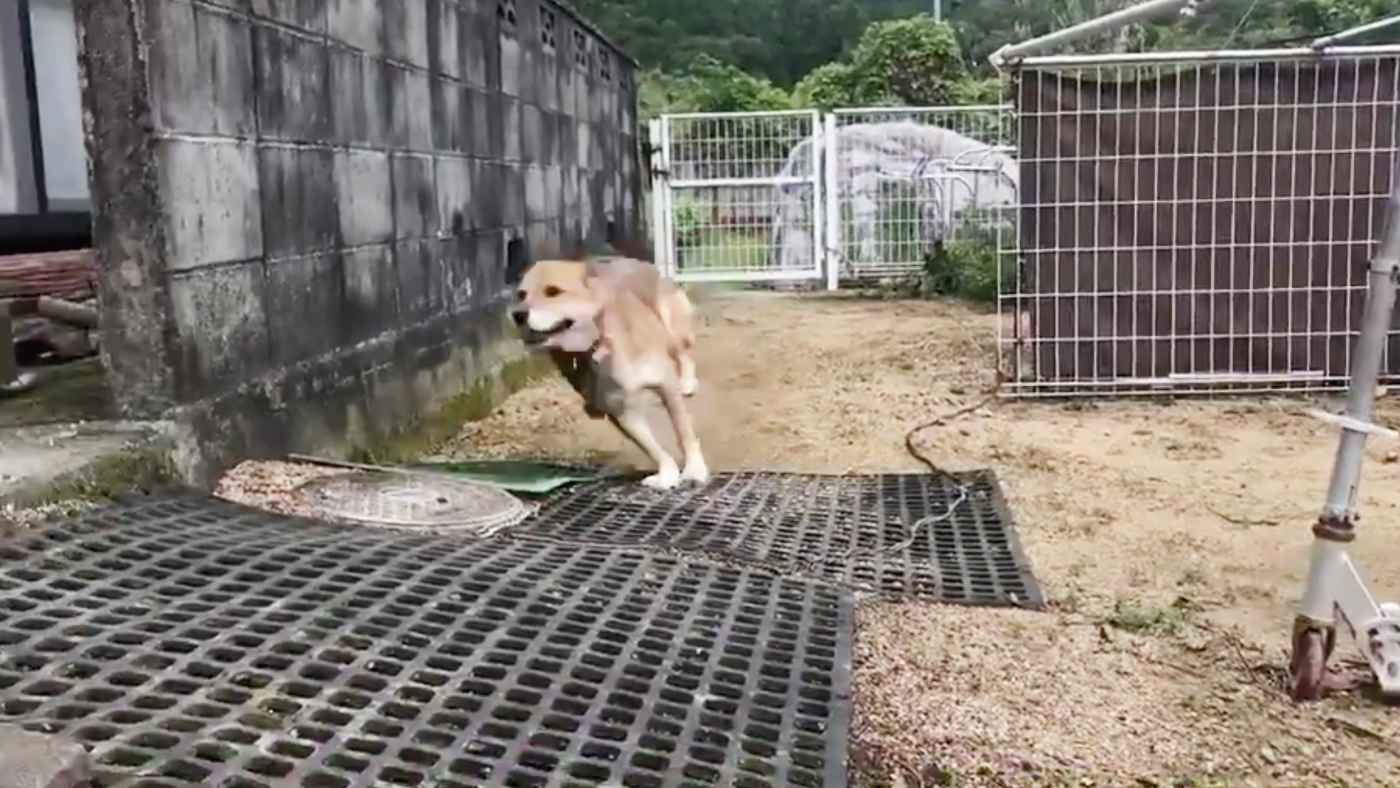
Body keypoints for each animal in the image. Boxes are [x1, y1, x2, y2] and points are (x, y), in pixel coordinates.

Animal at [512, 256, 711, 489]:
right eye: (521, 295)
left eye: (553, 291)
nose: (517, 314)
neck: (598, 346)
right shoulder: (622, 411)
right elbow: (652, 447)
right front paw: (667, 472)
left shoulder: (666, 386)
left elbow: (684, 433)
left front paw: (695, 469)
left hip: (673, 330)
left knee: (683, 353)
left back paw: (687, 381)